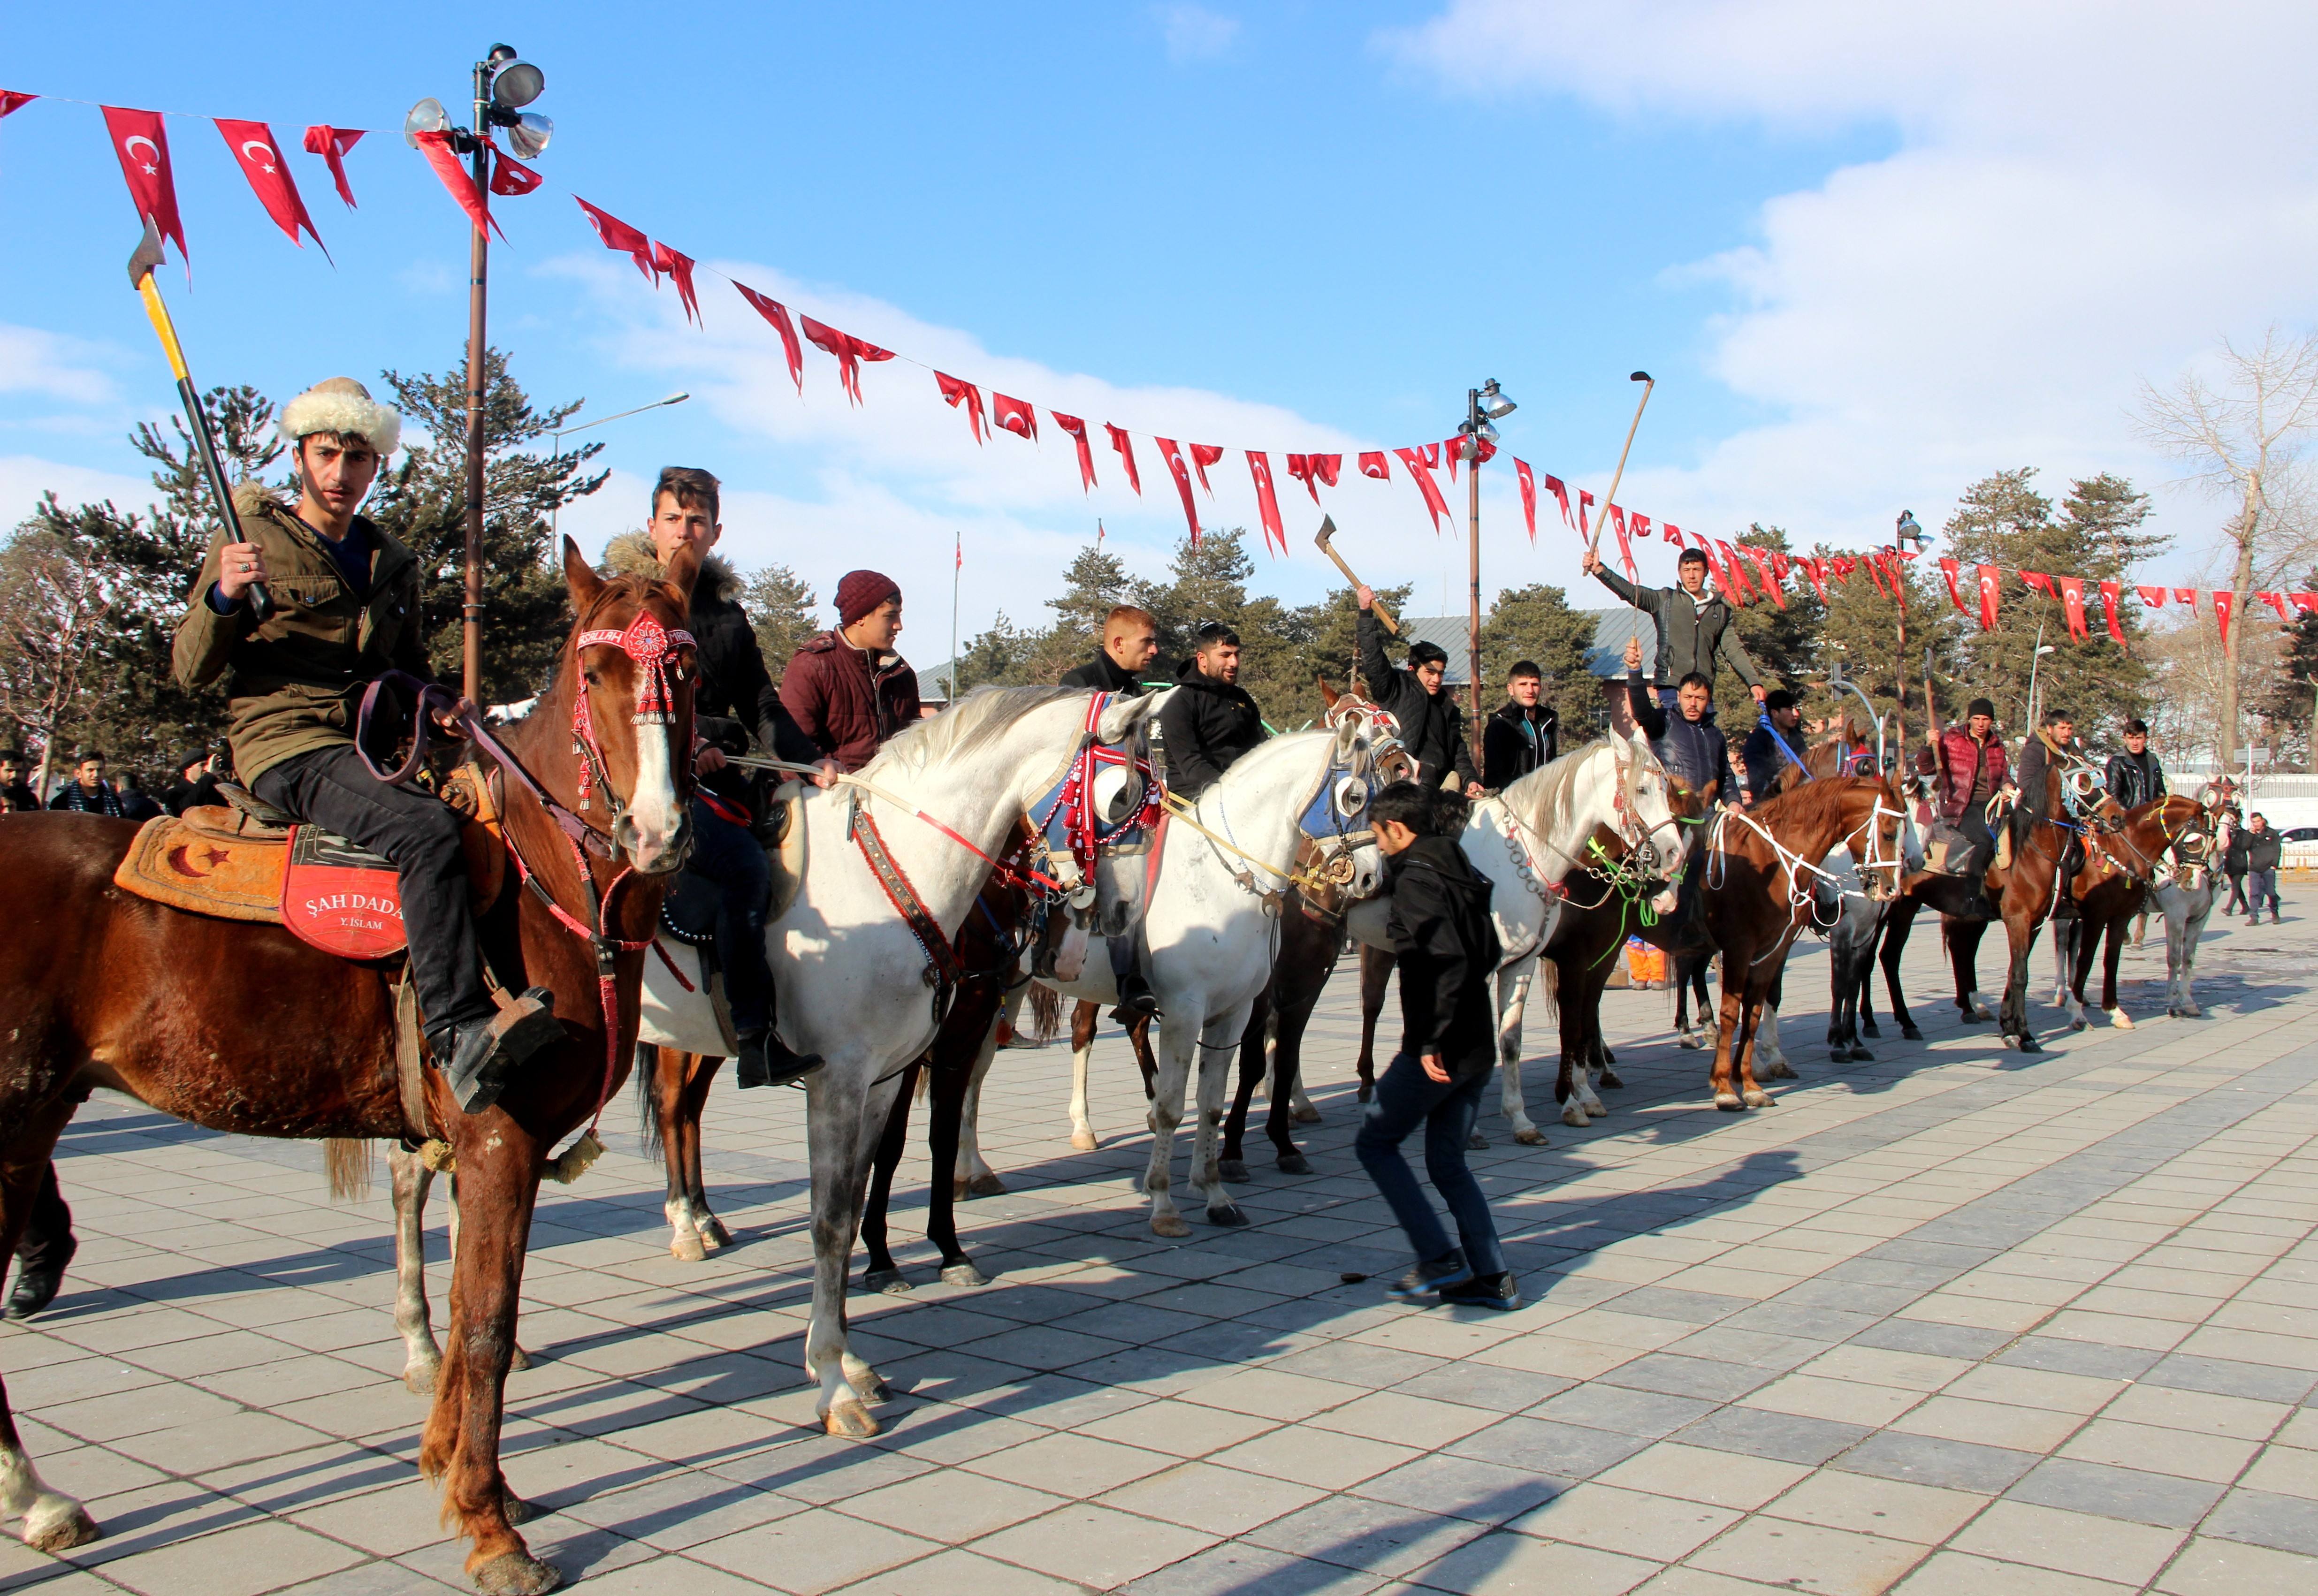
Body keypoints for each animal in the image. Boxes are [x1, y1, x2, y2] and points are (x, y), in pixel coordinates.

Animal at [0, 542, 695, 1584]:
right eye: (600, 671)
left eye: (683, 665)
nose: (659, 832)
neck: (541, 888)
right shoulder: (500, 1137)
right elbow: (488, 1325)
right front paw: (492, 1528)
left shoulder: (488, 1150)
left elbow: (468, 1300)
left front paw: (463, 1475)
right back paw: (37, 1496)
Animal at [1043, 718, 1381, 1232]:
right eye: (1354, 797)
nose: (1369, 878)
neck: (1221, 882)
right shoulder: (1187, 1012)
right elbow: (1173, 1104)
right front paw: (1163, 1202)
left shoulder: (1236, 1011)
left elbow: (1214, 1100)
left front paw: (1214, 1191)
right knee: (1077, 1034)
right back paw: (1072, 1130)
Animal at [1344, 737, 1687, 1144]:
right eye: (1641, 789)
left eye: (1667, 789)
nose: (1674, 854)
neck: (1519, 858)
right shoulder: (1510, 967)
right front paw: (1472, 1127)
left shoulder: (1524, 965)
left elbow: (1512, 1042)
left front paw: (1521, 1118)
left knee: (1370, 1004)